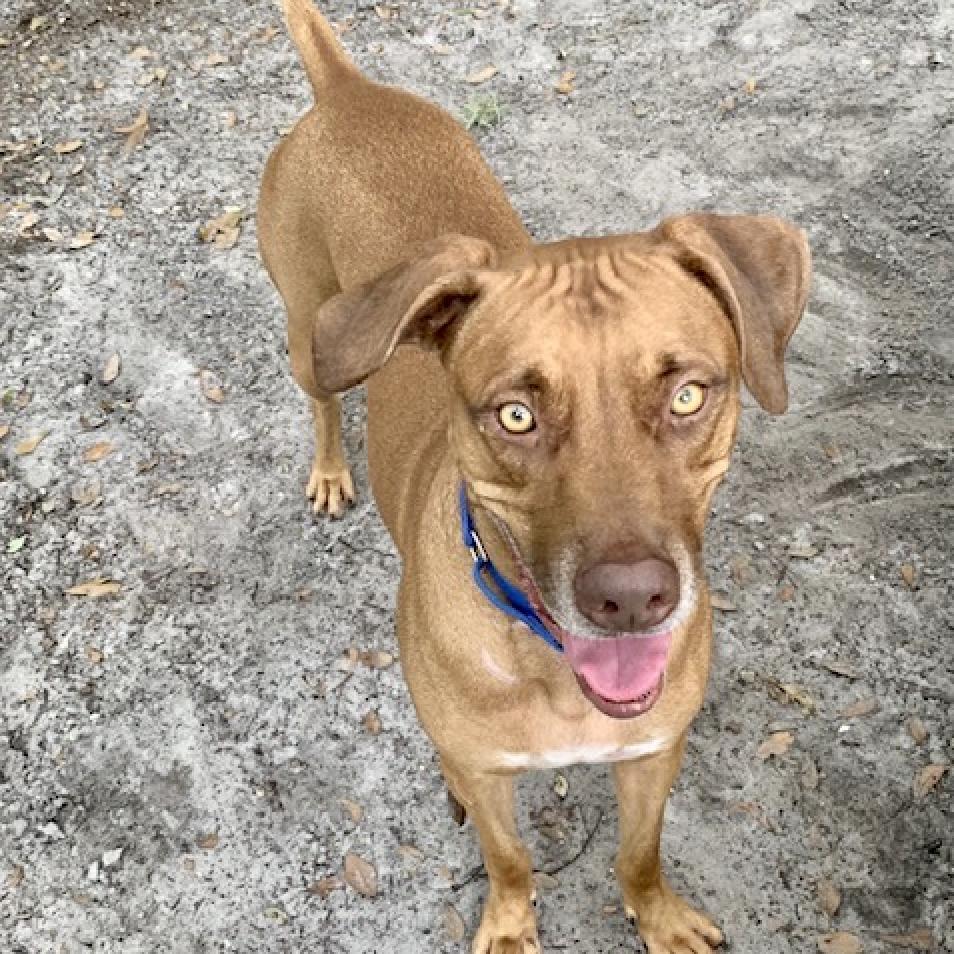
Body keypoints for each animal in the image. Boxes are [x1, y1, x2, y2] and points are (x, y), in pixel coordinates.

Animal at [256, 3, 808, 948]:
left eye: (689, 394)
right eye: (516, 414)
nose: (631, 599)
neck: (553, 669)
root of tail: (348, 92)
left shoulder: (652, 753)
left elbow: (639, 853)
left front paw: (659, 915)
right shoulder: (488, 775)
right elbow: (508, 858)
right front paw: (511, 924)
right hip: (310, 332)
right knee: (323, 401)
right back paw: (330, 468)